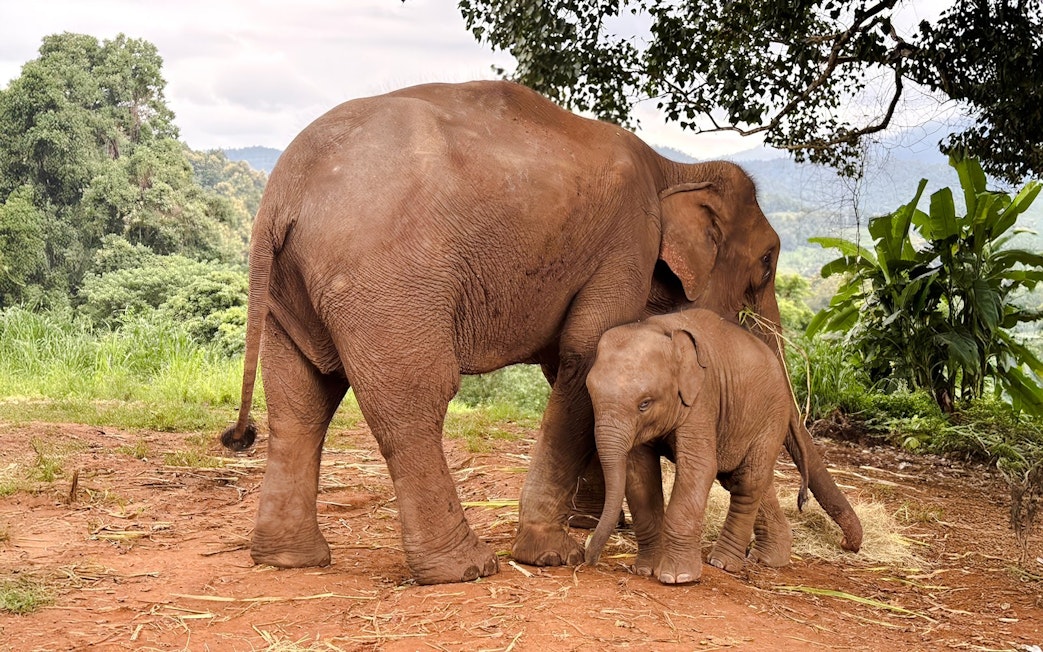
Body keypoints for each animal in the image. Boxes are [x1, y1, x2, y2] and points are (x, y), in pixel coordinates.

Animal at [584, 308, 806, 584]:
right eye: (590, 395)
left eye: (645, 403)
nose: (588, 559)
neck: (659, 328)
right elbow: (639, 473)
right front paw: (646, 570)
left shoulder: (703, 397)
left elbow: (699, 467)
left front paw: (677, 577)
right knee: (750, 480)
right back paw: (770, 558)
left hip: (771, 416)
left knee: (747, 482)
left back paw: (723, 563)